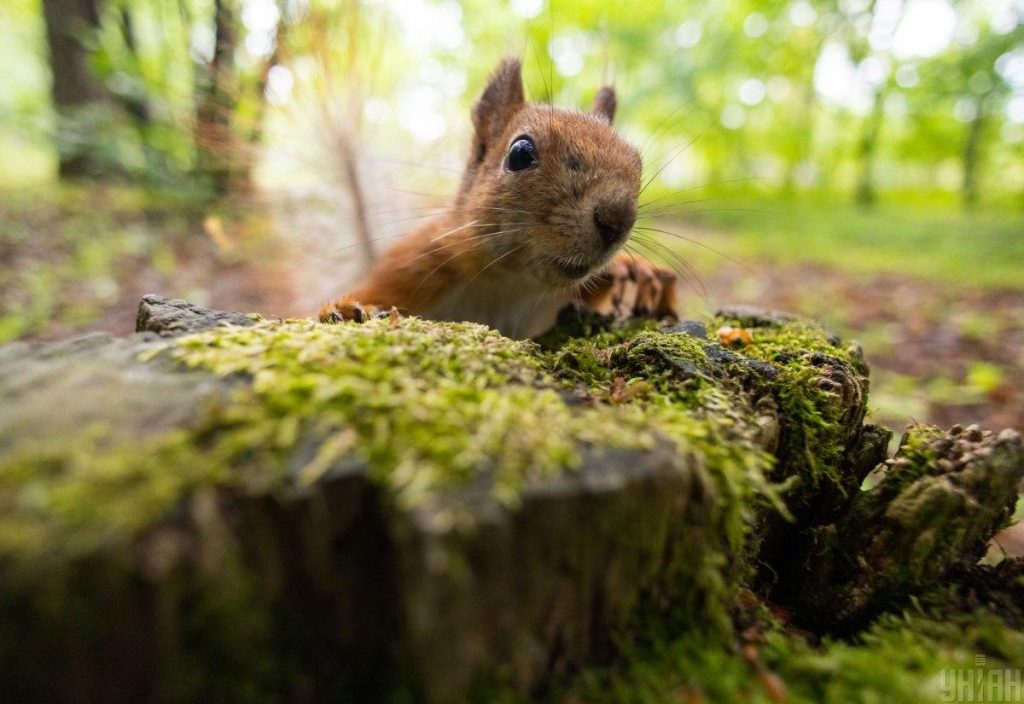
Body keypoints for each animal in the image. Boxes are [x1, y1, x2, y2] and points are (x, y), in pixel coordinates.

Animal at [315, 57, 675, 337]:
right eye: (520, 153)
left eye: (637, 164)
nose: (616, 220)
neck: (510, 283)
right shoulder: (412, 266)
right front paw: (346, 309)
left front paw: (635, 267)